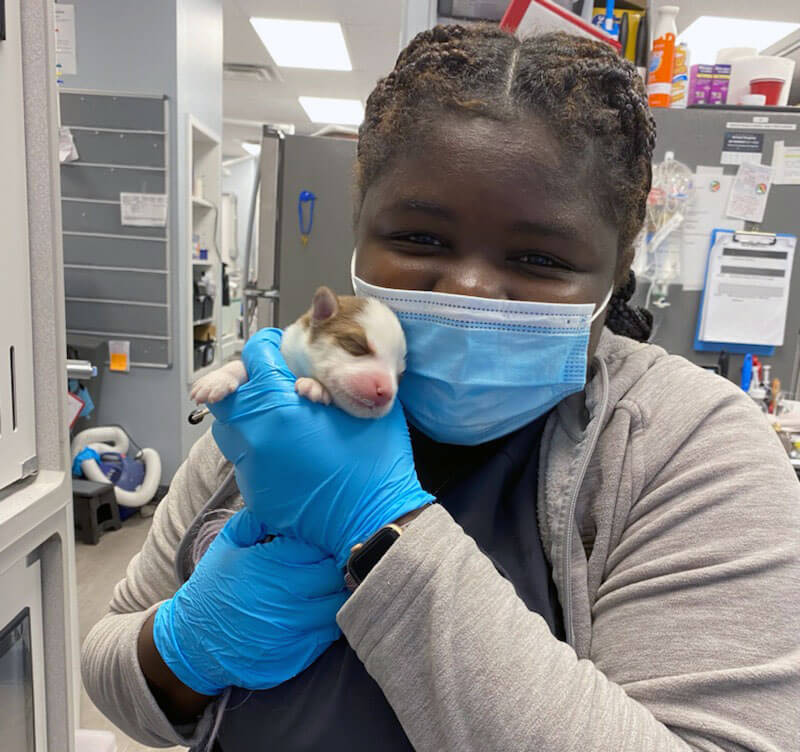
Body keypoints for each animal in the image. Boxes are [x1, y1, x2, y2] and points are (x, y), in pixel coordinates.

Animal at [191, 286, 406, 420]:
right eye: (356, 345)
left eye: (400, 375)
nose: (387, 392)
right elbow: (239, 364)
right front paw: (217, 379)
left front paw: (315, 386)